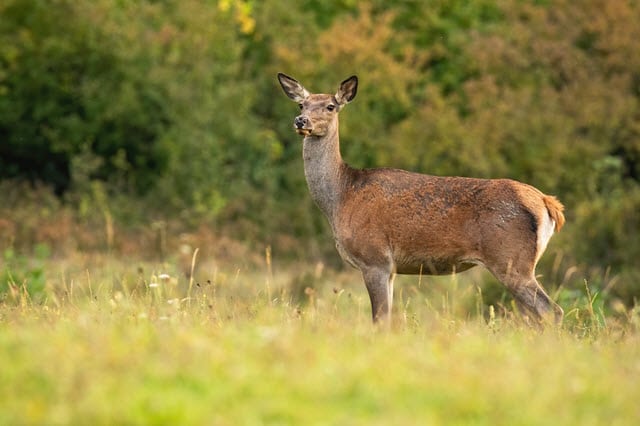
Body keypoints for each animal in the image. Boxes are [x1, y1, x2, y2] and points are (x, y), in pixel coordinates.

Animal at [276, 73, 564, 326]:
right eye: (302, 103)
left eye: (331, 106)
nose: (301, 120)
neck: (341, 199)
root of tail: (547, 203)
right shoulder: (390, 269)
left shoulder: (375, 258)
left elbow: (380, 320)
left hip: (511, 260)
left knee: (551, 311)